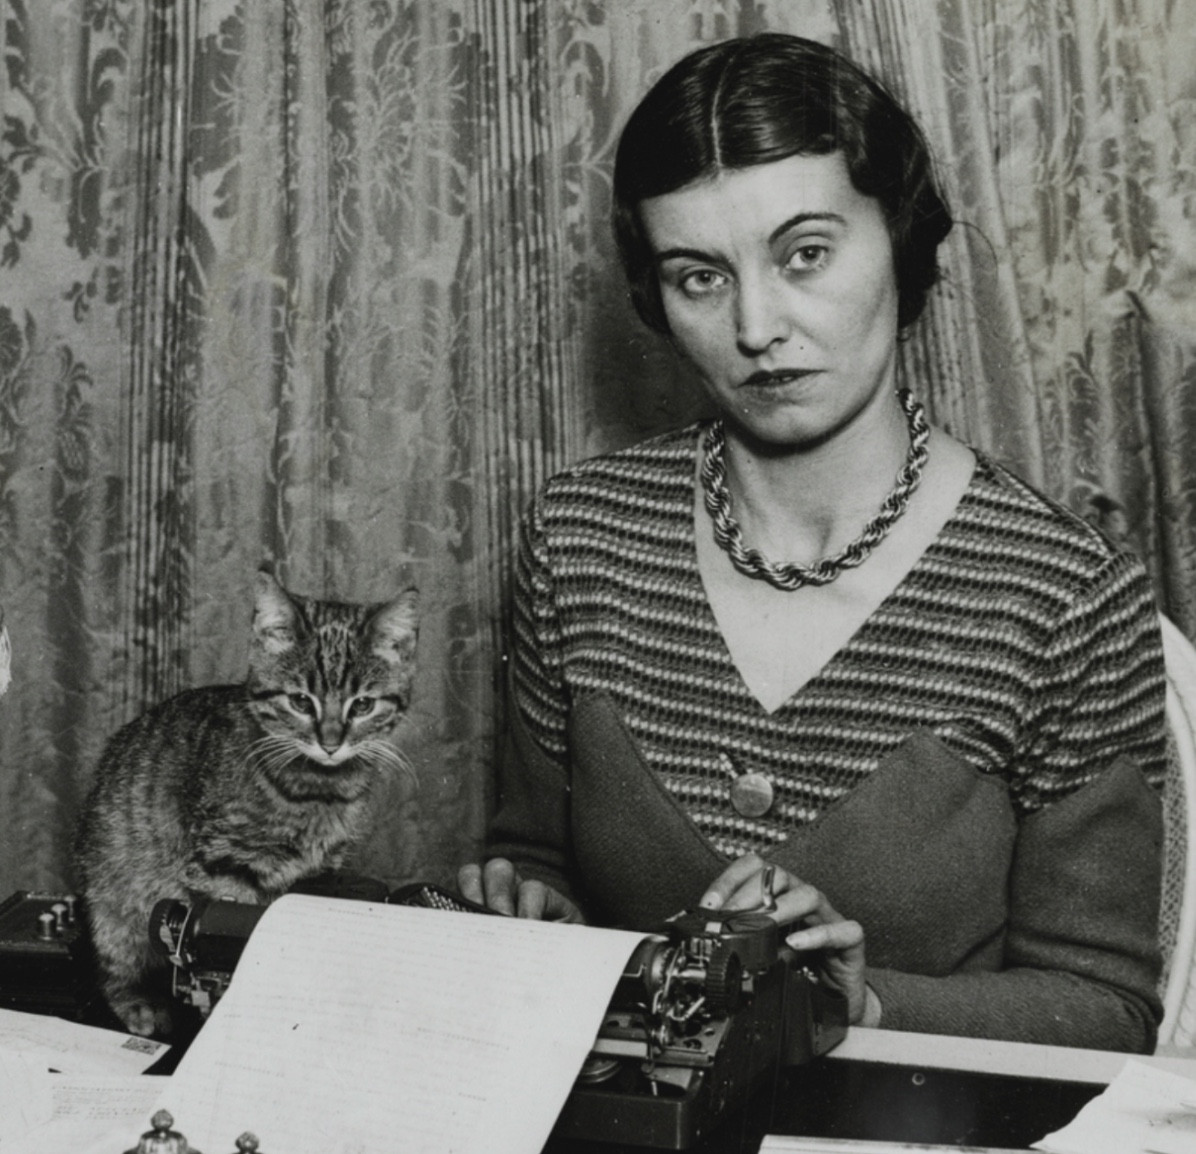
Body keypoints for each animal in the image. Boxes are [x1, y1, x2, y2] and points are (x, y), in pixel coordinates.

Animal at [74, 566, 420, 1038]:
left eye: (363, 705)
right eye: (300, 701)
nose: (331, 743)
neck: (318, 789)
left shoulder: (324, 868)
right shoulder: (223, 864)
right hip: (114, 891)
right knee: (115, 961)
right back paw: (139, 1003)